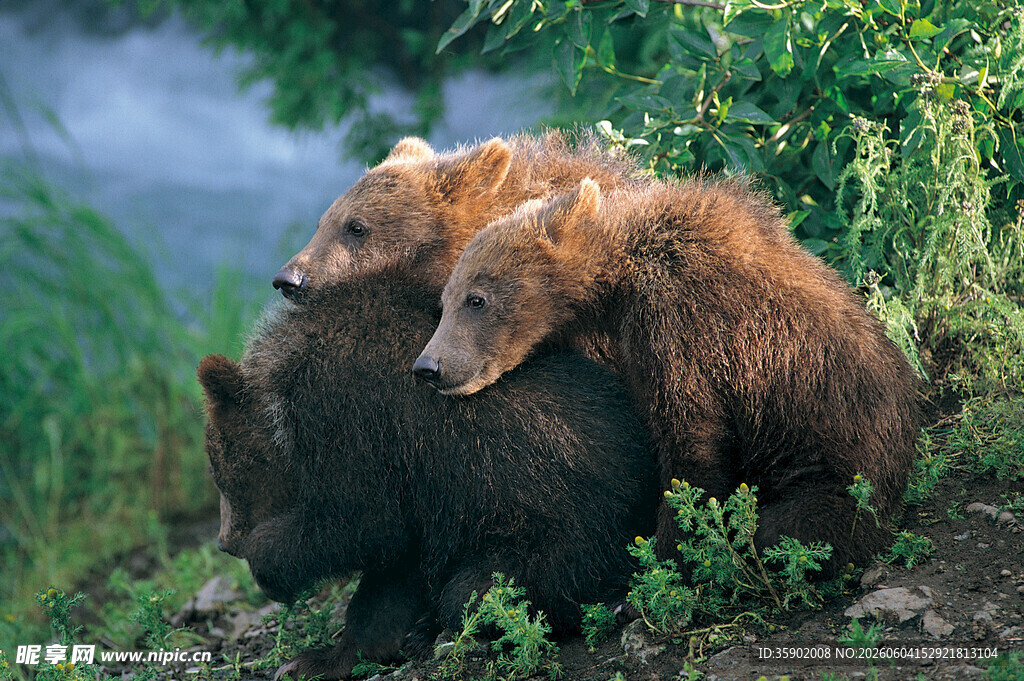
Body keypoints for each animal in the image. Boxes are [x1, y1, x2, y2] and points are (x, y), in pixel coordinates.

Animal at [197, 275, 657, 680]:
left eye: (219, 471)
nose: (225, 541)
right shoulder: (420, 494)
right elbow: (392, 572)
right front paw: (328, 657)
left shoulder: (349, 421)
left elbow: (363, 522)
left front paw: (270, 571)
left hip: (563, 533)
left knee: (482, 588)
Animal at [414, 177, 922, 576]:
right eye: (444, 300)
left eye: (475, 299)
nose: (428, 367)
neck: (615, 283)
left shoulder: (679, 323)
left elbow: (690, 439)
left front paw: (666, 554)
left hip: (833, 462)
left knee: (794, 528)